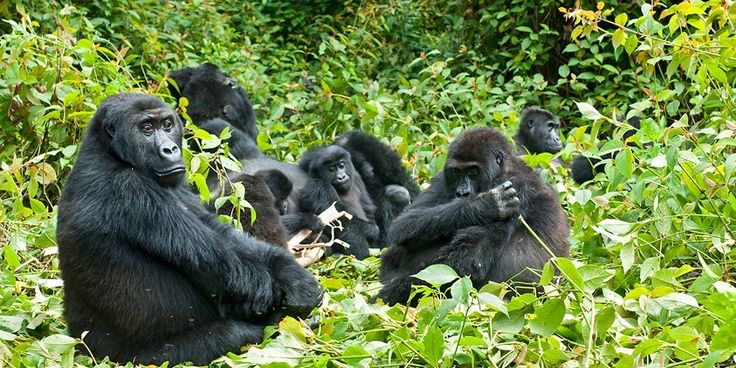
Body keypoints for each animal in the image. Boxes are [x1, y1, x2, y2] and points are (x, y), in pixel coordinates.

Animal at [57, 92, 322, 366]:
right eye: (146, 129)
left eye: (167, 125)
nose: (171, 149)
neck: (108, 152)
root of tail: (79, 341)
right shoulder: (129, 189)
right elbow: (225, 264)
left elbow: (224, 235)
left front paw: (293, 277)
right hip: (139, 358)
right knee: (231, 334)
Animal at [380, 126, 568, 304]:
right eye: (456, 172)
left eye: (473, 172)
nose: (462, 193)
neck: (504, 168)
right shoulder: (442, 179)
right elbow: (405, 222)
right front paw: (487, 205)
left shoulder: (517, 185)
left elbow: (464, 262)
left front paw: (387, 295)